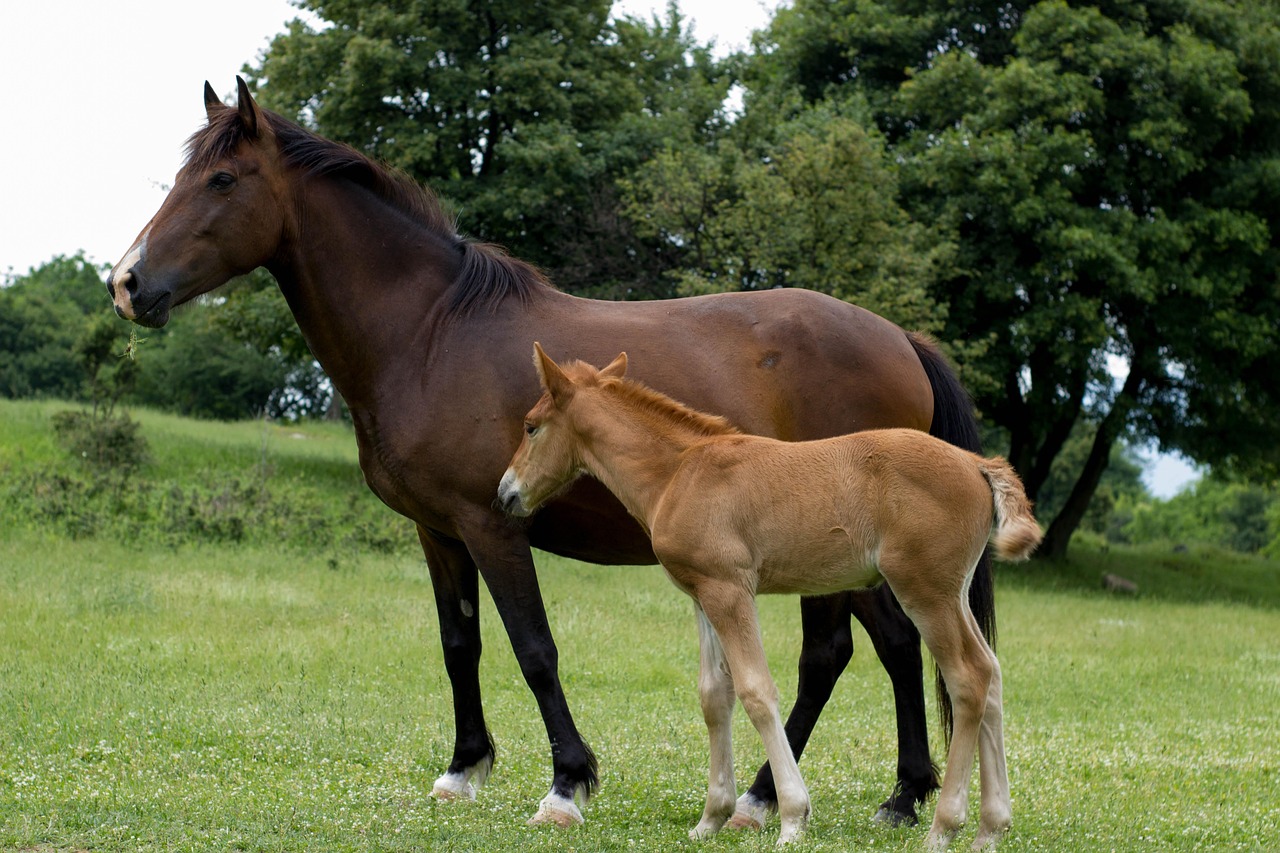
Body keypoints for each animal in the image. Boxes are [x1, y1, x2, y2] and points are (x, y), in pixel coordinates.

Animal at [104, 78, 993, 824]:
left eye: (222, 181)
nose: (126, 283)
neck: (430, 333)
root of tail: (900, 338)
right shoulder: (438, 530)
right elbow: (459, 644)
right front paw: (462, 769)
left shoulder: (492, 523)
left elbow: (534, 648)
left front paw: (567, 782)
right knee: (887, 644)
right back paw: (886, 794)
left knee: (839, 652)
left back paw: (779, 796)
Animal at [494, 343, 1044, 845]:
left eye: (530, 425)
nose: (506, 493)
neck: (679, 471)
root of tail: (977, 464)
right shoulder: (702, 593)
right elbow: (715, 696)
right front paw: (709, 819)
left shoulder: (730, 590)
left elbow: (757, 691)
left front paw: (791, 817)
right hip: (954, 593)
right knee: (992, 673)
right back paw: (991, 827)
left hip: (926, 591)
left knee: (968, 678)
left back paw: (944, 828)